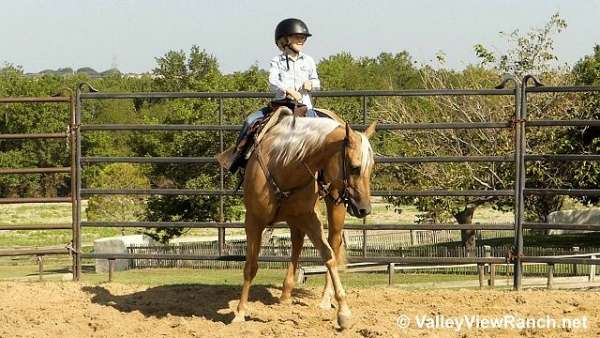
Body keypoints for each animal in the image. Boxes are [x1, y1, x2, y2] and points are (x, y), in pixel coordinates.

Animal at [233, 109, 376, 330]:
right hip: (292, 218)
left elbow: (328, 255)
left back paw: (324, 299)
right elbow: (250, 266)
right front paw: (240, 313)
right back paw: (285, 294)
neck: (284, 164)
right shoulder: (253, 221)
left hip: (335, 206)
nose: (364, 209)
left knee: (332, 242)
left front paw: (343, 312)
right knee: (297, 243)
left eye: (372, 166)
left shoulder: (309, 217)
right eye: (354, 167)